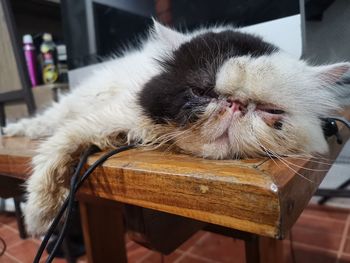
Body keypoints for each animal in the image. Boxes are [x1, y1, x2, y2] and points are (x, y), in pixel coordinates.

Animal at [3, 20, 350, 235]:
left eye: (271, 110)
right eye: (202, 92)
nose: (234, 105)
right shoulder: (102, 119)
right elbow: (50, 160)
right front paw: (38, 219)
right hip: (77, 102)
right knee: (46, 121)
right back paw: (13, 131)